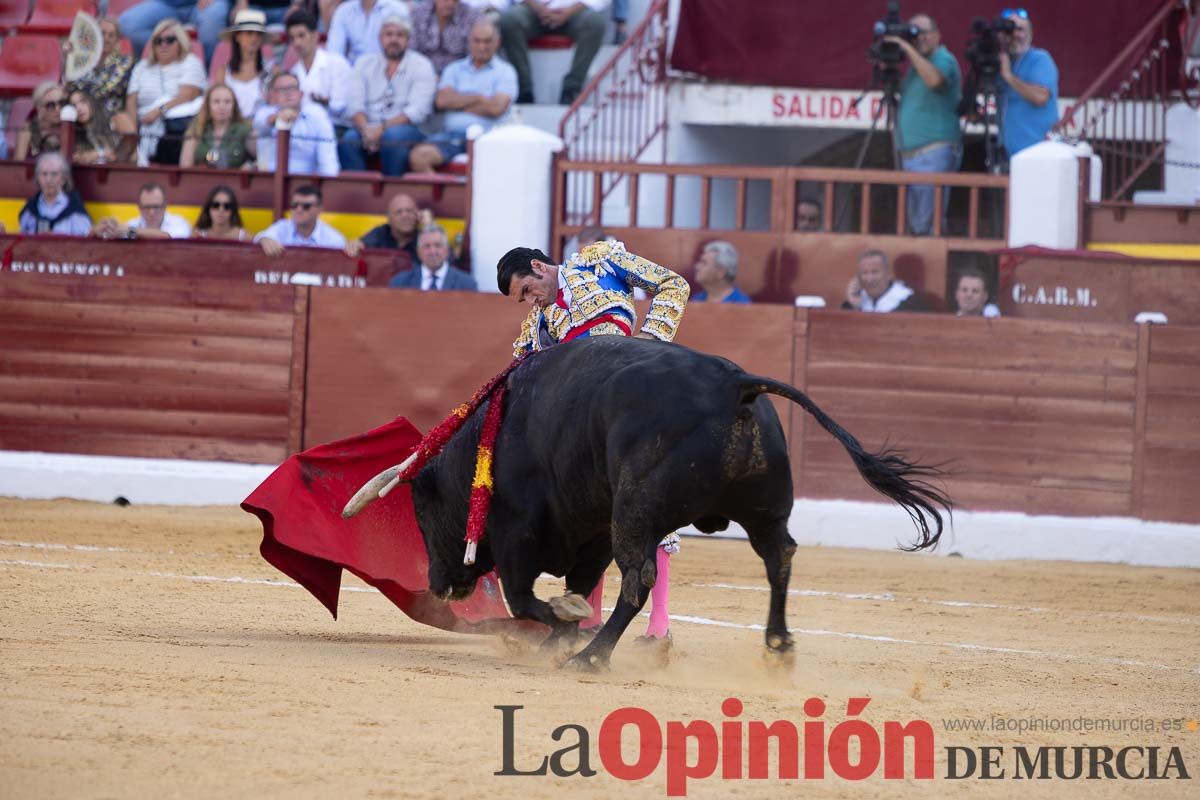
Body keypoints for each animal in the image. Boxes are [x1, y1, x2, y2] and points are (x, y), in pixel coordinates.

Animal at [408, 338, 950, 671]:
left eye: (424, 515)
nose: (437, 584)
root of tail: (735, 384)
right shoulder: (591, 533)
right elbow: (575, 586)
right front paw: (562, 632)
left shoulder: (519, 532)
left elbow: (526, 597)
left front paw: (565, 627)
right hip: (762, 509)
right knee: (779, 557)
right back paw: (778, 647)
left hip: (634, 512)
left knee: (639, 578)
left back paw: (594, 658)